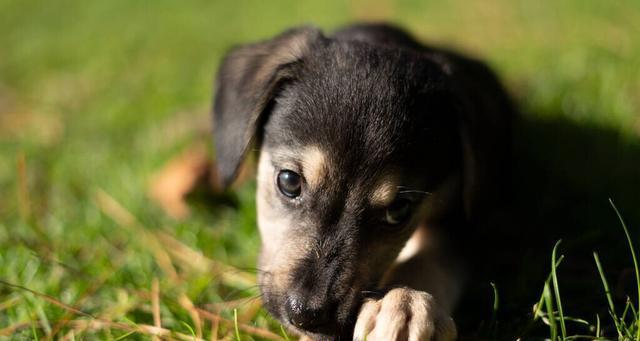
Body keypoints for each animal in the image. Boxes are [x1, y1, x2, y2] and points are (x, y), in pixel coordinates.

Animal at [212, 22, 512, 338]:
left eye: (399, 210)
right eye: (289, 181)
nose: (307, 315)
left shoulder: (464, 220)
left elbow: (434, 254)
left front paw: (405, 303)